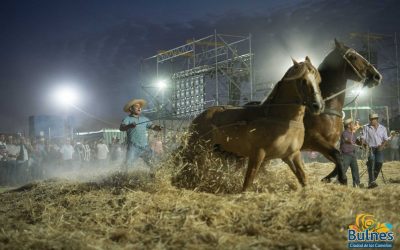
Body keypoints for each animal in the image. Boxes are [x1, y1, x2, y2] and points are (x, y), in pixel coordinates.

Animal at [184, 57, 324, 190]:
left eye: (318, 80)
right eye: (303, 81)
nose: (318, 106)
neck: (280, 118)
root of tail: (197, 118)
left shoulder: (292, 155)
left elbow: (302, 177)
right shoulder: (257, 155)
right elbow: (248, 181)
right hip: (199, 150)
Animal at [304, 39, 382, 184]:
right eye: (353, 57)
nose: (377, 76)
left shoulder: (329, 145)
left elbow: (339, 161)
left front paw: (328, 178)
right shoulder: (314, 140)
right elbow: (339, 158)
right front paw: (341, 180)